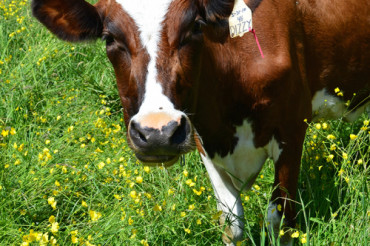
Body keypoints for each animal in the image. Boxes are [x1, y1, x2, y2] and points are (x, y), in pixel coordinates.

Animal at [32, 0, 370, 245]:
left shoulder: (293, 127)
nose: (157, 132)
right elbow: (232, 222)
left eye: (194, 26)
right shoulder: (200, 135)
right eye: (109, 38)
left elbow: (280, 221)